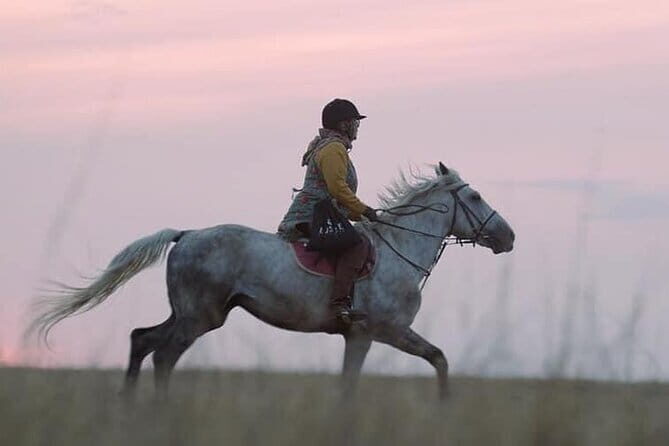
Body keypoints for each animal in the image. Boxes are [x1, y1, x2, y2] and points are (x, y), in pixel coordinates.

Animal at [30, 162, 514, 400]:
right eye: (474, 196)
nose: (508, 236)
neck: (399, 248)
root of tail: (185, 235)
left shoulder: (359, 338)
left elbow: (357, 382)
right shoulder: (382, 331)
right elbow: (438, 360)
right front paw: (444, 408)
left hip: (193, 313)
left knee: (141, 340)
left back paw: (130, 408)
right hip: (200, 317)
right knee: (163, 354)